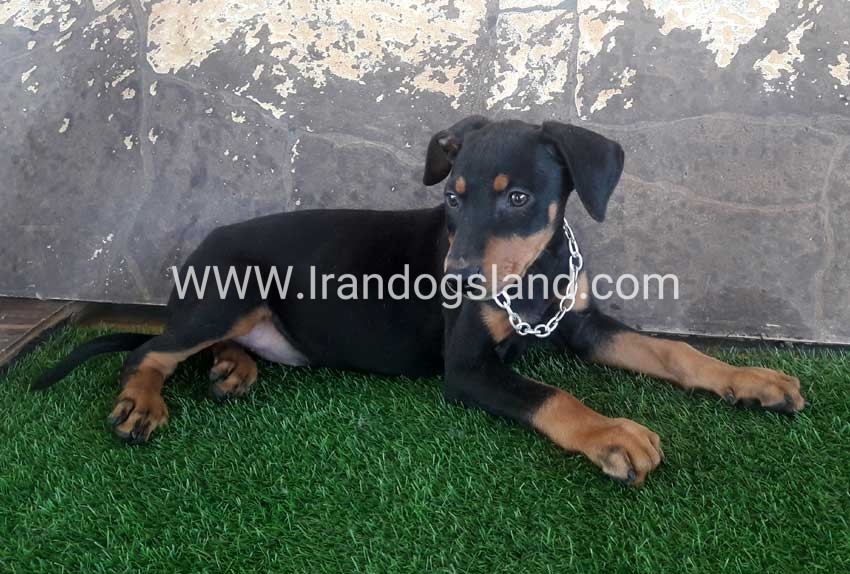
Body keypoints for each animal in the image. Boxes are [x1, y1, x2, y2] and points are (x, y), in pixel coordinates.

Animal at [34, 116, 806, 486]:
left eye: (518, 199)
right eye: (452, 199)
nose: (456, 279)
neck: (531, 279)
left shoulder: (582, 323)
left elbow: (671, 350)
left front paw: (752, 380)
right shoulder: (467, 368)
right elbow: (553, 395)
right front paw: (613, 435)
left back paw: (234, 368)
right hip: (226, 293)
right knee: (148, 349)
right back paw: (142, 403)